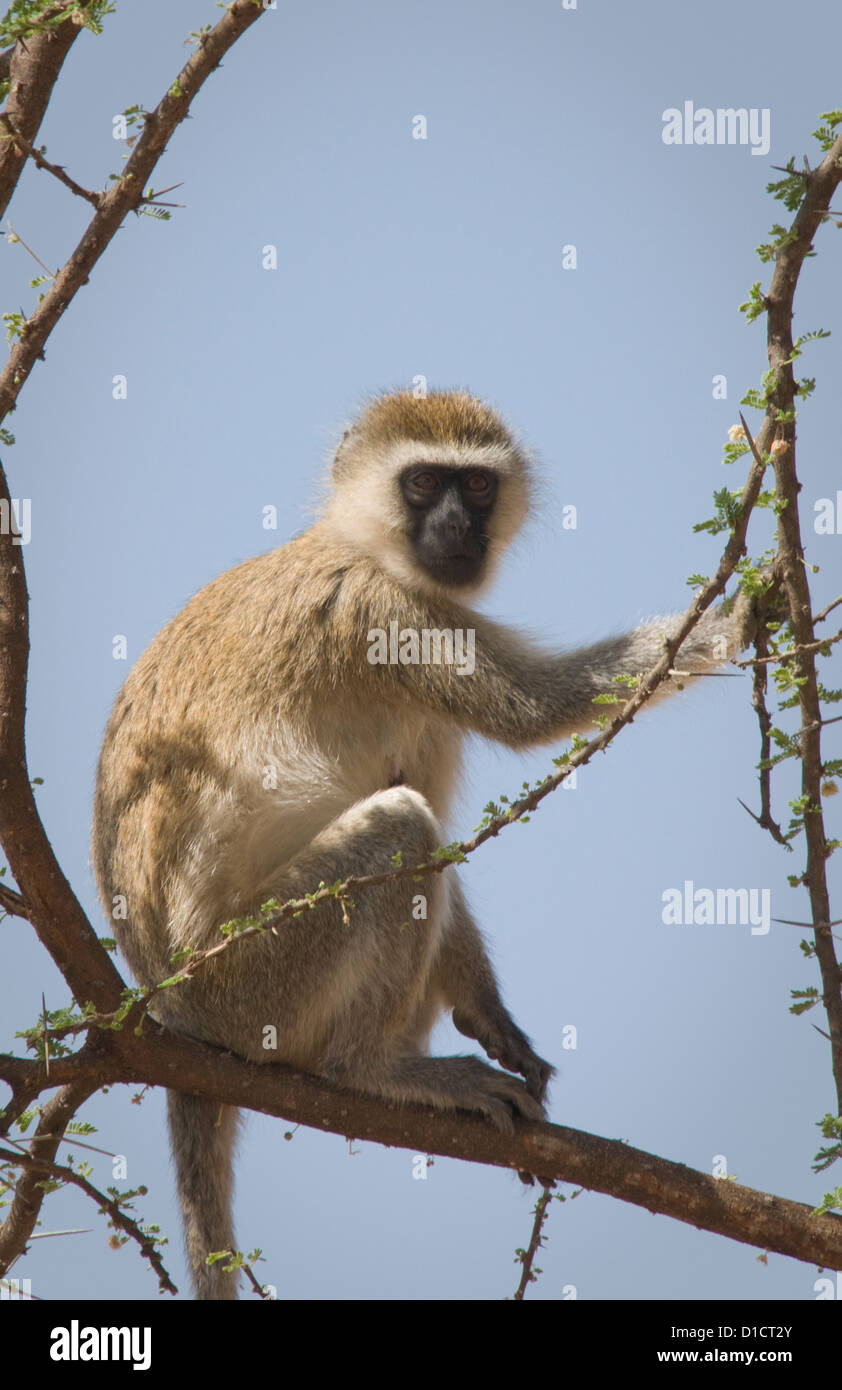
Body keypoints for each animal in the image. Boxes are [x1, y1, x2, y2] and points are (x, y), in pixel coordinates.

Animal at [91, 386, 750, 1295]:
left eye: (475, 487)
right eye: (423, 482)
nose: (457, 526)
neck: (353, 542)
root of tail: (168, 1012)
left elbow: (450, 840)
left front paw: (491, 1014)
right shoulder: (390, 615)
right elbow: (534, 710)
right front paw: (755, 604)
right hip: (248, 987)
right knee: (400, 831)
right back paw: (371, 1071)